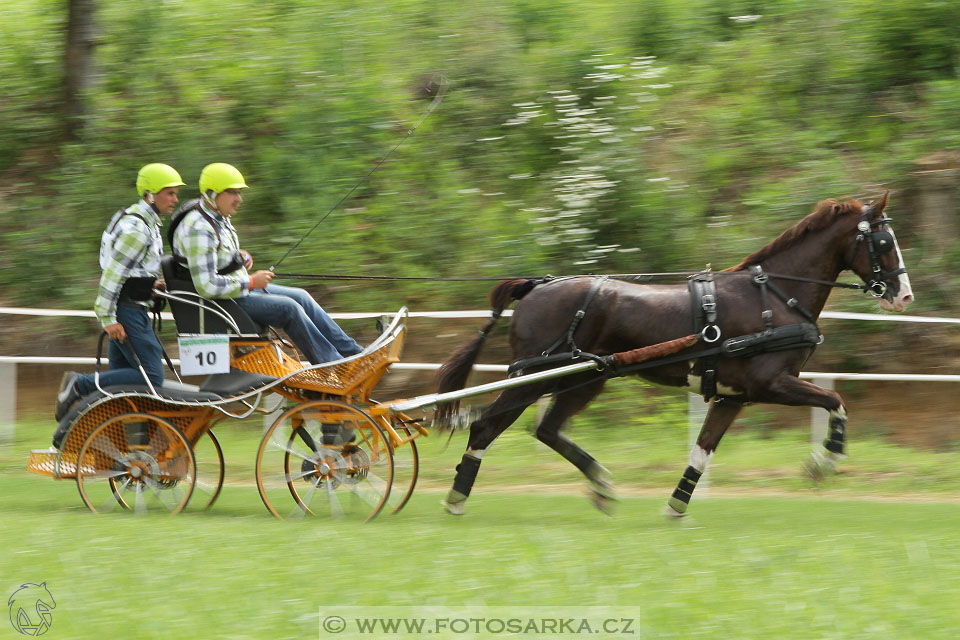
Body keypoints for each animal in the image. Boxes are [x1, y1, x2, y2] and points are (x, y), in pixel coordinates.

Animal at [436, 192, 916, 516]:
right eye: (884, 242)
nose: (904, 295)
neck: (776, 297)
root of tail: (536, 287)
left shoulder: (732, 397)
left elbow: (702, 451)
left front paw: (677, 506)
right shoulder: (771, 384)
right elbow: (836, 401)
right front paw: (822, 464)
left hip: (585, 378)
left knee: (548, 430)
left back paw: (602, 485)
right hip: (535, 376)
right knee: (486, 426)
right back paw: (457, 496)